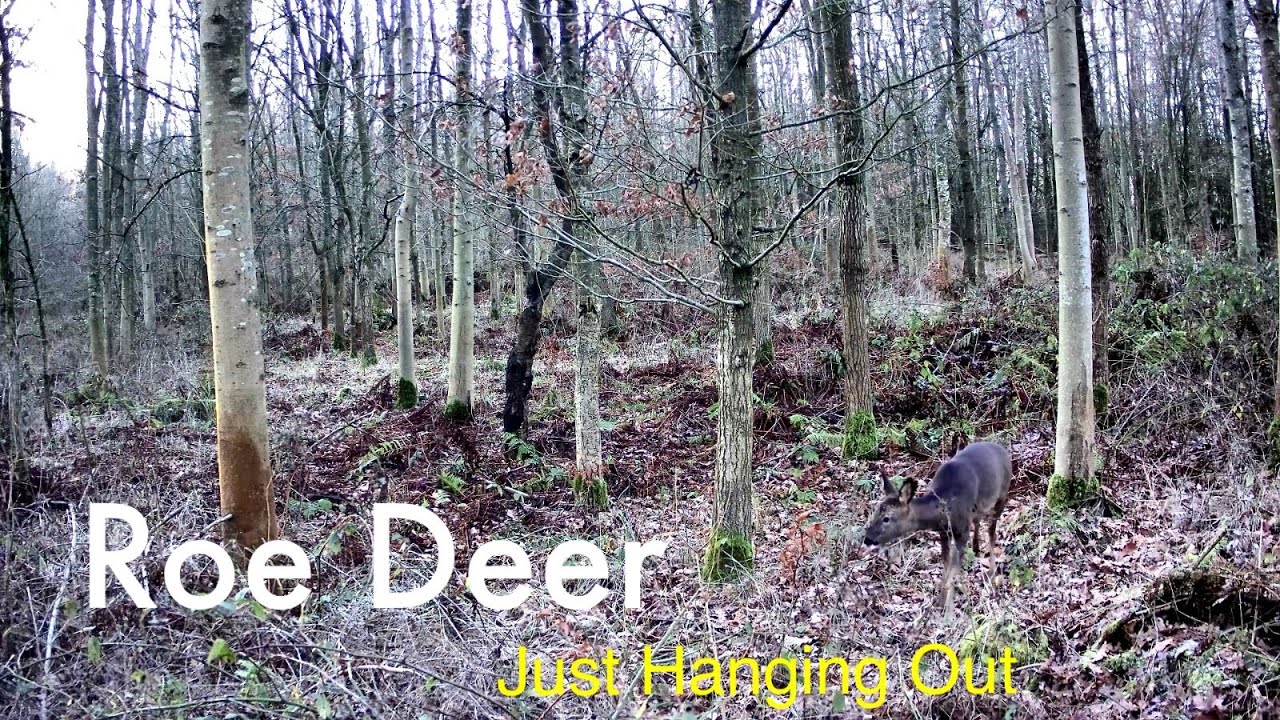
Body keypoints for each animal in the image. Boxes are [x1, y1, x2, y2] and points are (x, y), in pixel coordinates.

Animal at [862, 441, 1012, 615]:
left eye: (886, 518)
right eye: (875, 512)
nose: (868, 539)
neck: (945, 507)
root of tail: (1002, 448)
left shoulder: (962, 531)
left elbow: (953, 571)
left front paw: (948, 611)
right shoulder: (944, 533)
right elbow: (945, 566)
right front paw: (940, 602)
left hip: (1002, 495)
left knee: (992, 531)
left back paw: (992, 573)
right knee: (979, 520)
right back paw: (976, 548)